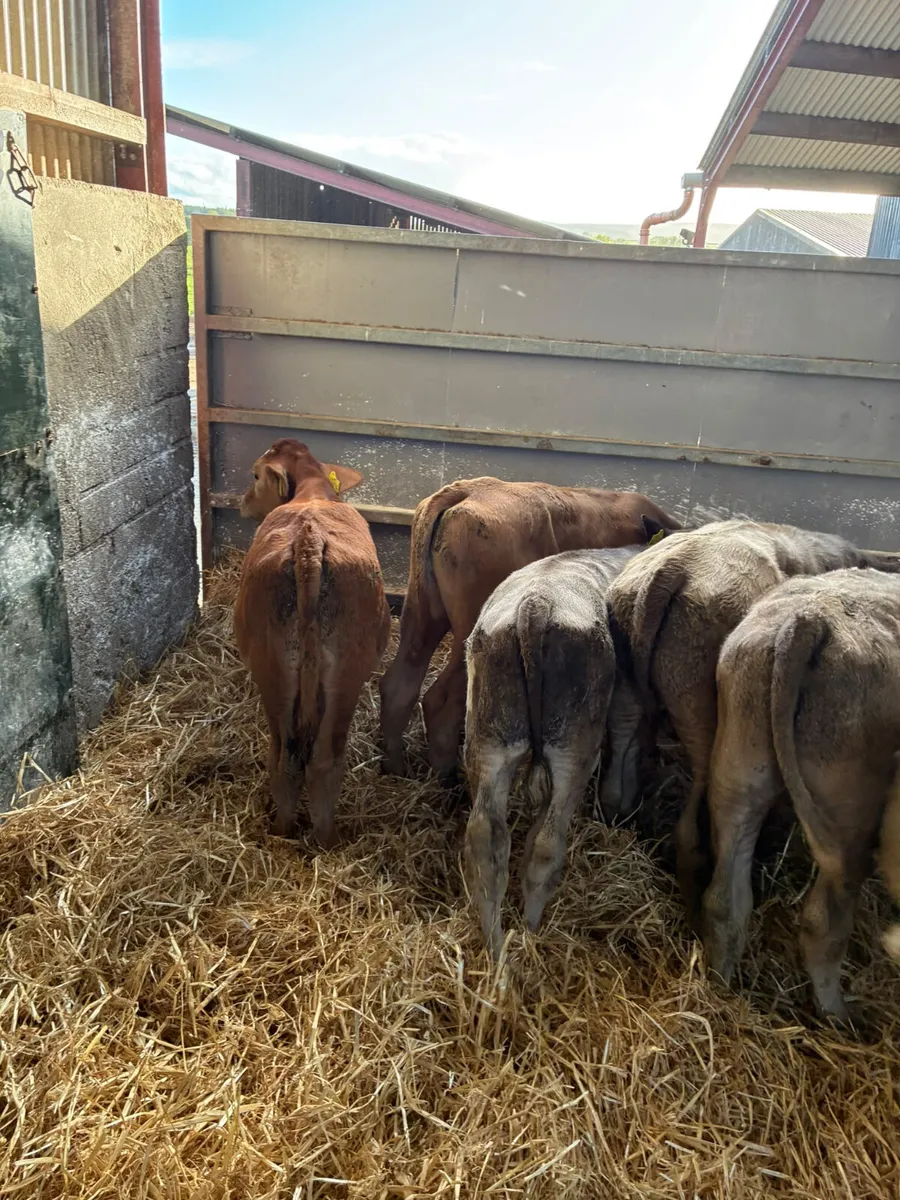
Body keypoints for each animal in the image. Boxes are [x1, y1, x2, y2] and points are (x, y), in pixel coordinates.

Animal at [234, 439, 390, 848]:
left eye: (255, 475)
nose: (242, 501)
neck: (314, 492)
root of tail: (309, 540)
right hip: (343, 679)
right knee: (318, 760)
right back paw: (323, 840)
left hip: (274, 677)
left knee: (287, 758)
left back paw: (285, 833)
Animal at [378, 476, 681, 784]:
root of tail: (469, 489)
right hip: (470, 632)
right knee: (441, 701)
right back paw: (447, 780)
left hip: (421, 613)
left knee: (399, 685)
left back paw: (395, 767)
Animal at [463, 546, 651, 960]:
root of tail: (536, 604)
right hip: (573, 747)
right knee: (548, 845)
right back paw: (529, 931)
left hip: (490, 736)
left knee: (486, 838)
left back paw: (497, 947)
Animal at [700, 569, 900, 1021]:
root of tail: (808, 620)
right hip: (848, 802)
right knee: (824, 920)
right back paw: (839, 1017)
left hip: (739, 769)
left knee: (726, 898)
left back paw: (722, 986)